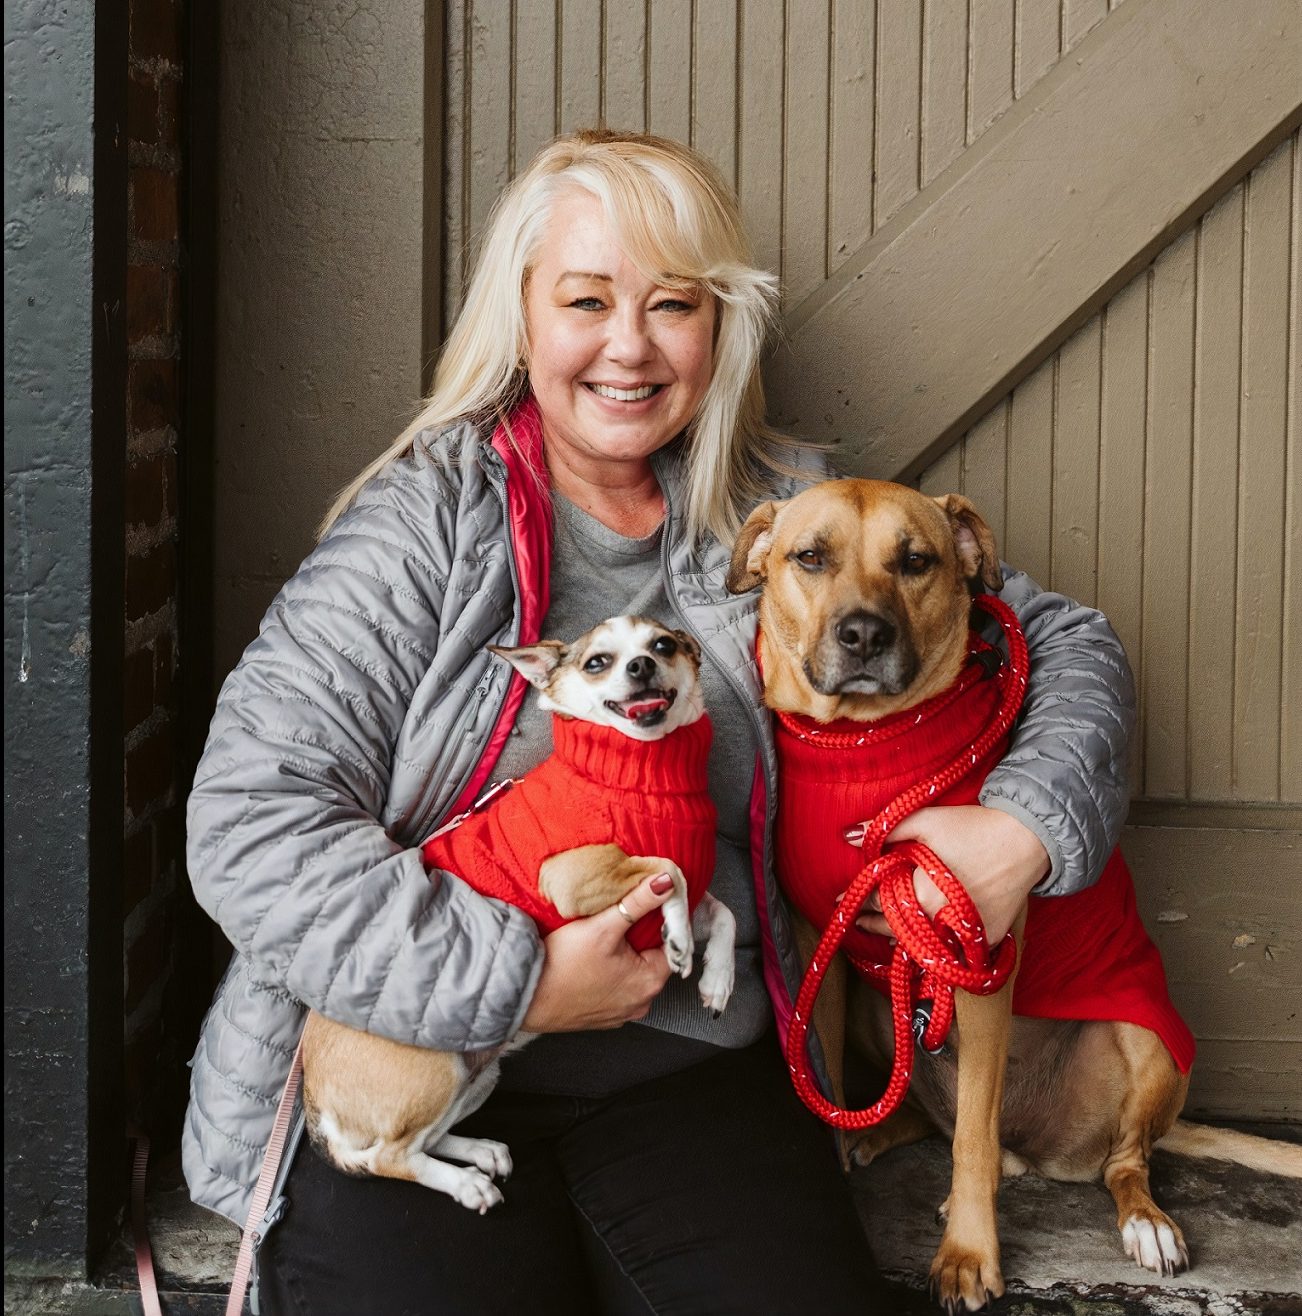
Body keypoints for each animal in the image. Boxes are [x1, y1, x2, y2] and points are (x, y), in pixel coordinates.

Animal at [726, 484, 1295, 1316]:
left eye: (916, 561)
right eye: (810, 557)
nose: (864, 634)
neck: (866, 749)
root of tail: (1039, 1152)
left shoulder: (979, 960)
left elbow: (969, 1139)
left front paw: (968, 1254)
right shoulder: (816, 952)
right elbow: (824, 1077)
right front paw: (840, 1157)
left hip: (1149, 1045)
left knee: (1114, 1162)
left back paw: (1144, 1222)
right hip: (877, 1007)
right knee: (935, 1118)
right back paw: (879, 1133)